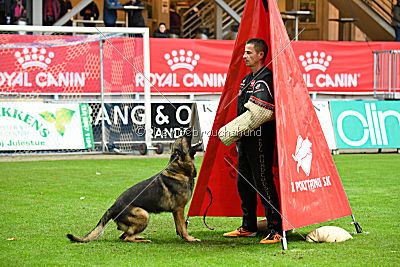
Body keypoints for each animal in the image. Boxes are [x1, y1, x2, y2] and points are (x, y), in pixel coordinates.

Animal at [67, 129, 203, 243]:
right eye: (182, 138)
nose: (190, 129)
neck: (179, 170)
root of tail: (112, 207)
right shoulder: (179, 209)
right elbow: (183, 227)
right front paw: (189, 238)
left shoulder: (176, 211)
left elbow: (179, 227)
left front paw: (183, 237)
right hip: (144, 215)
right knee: (127, 238)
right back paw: (142, 240)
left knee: (123, 235)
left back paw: (139, 237)